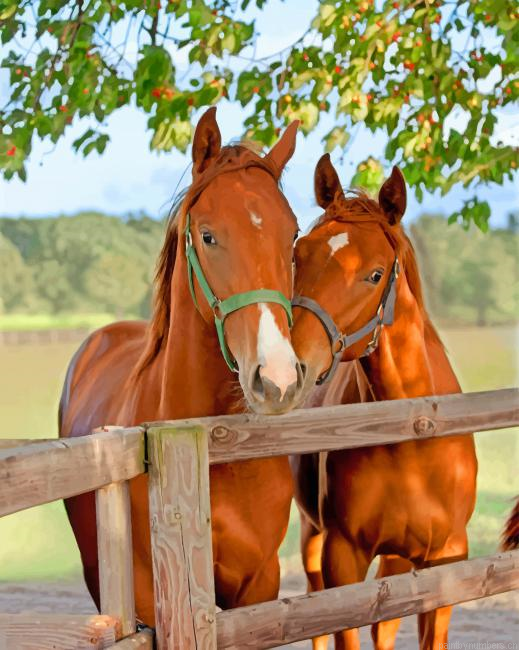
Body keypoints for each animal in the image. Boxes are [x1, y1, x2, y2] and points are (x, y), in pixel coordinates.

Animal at [290, 153, 478, 650]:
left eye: (374, 274)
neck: (411, 433)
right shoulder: (343, 556)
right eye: (297, 255)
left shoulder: (446, 560)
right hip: (312, 539)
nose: (293, 364)